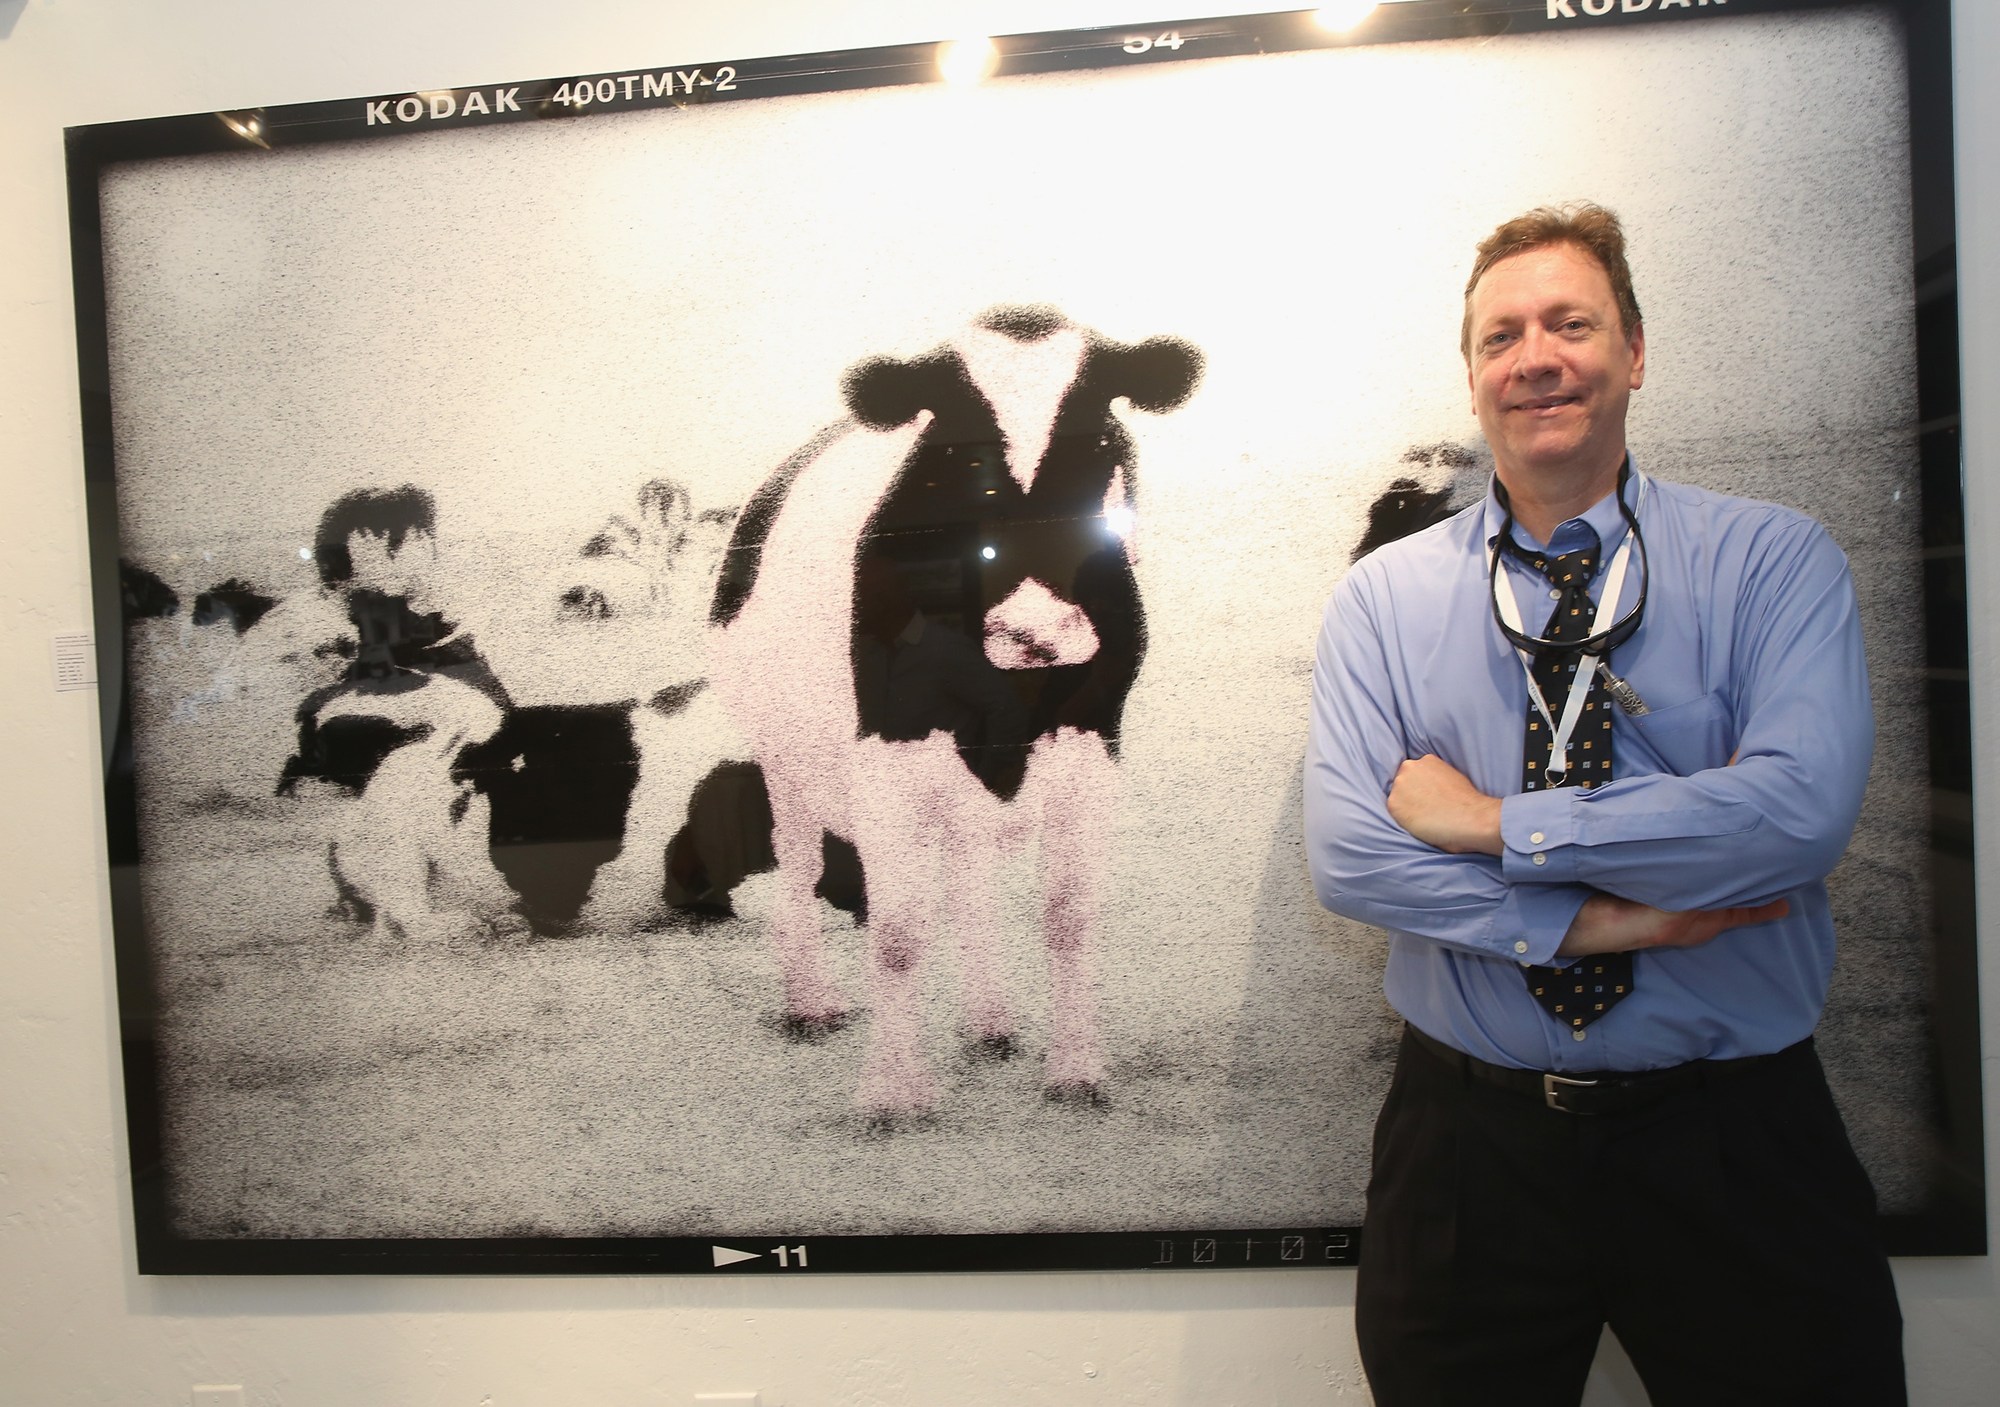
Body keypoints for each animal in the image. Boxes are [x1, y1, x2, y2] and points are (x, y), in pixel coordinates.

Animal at [709, 306, 1203, 1120]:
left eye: (1100, 442)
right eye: (955, 458)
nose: (1038, 630)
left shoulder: (1094, 741)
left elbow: (1069, 915)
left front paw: (1076, 1071)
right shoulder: (884, 756)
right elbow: (898, 932)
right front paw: (892, 1093)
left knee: (970, 880)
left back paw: (988, 1022)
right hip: (784, 751)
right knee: (800, 864)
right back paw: (810, 1003)